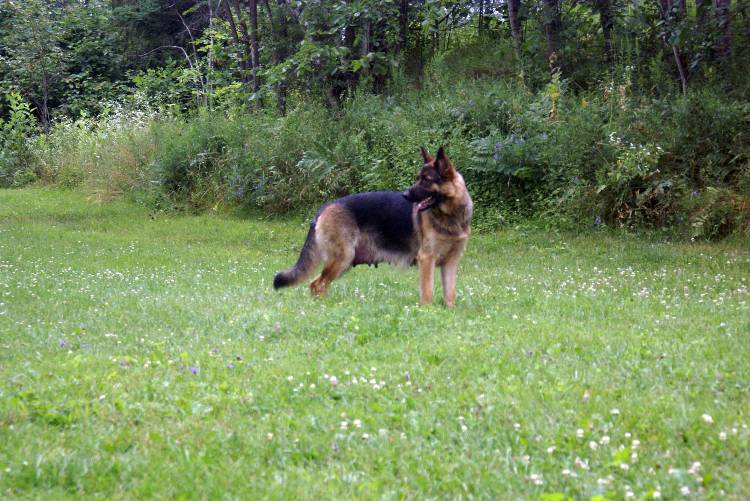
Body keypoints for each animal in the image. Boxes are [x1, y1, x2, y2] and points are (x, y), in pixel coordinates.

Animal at [274, 146, 476, 304]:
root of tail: (326, 206)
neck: (450, 216)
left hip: (343, 262)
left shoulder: (451, 262)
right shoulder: (427, 259)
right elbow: (427, 293)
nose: (405, 195)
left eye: (426, 180)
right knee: (317, 284)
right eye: (418, 178)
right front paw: (426, 311)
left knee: (317, 284)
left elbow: (450, 295)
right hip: (342, 259)